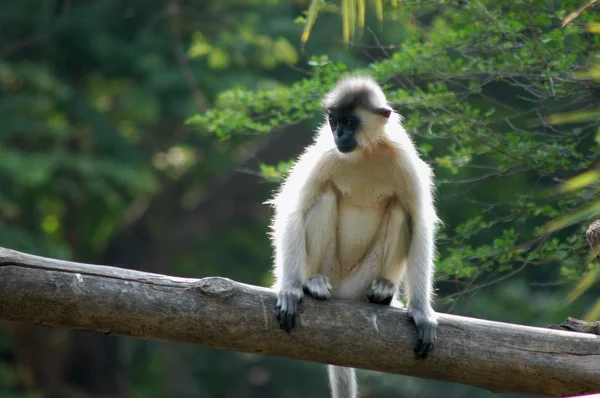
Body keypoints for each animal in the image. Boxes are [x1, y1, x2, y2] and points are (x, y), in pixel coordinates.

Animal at [268, 74, 440, 398]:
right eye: (334, 122)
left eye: (349, 122)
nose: (339, 134)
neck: (366, 152)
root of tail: (346, 292)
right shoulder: (326, 153)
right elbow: (292, 209)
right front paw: (289, 290)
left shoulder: (405, 158)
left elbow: (421, 223)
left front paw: (421, 312)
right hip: (329, 269)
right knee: (322, 197)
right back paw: (312, 283)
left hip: (363, 277)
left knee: (400, 209)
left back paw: (384, 291)